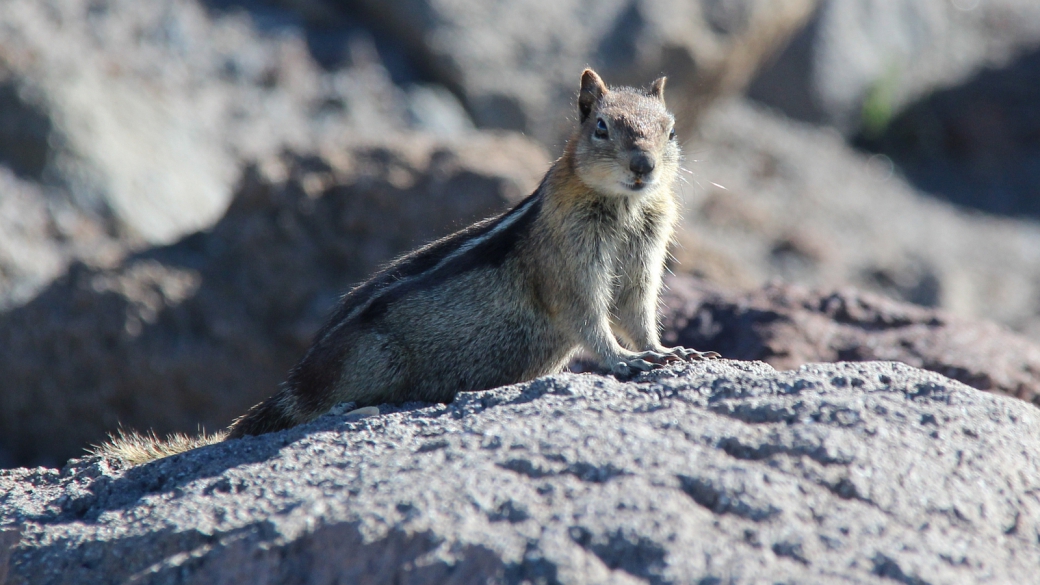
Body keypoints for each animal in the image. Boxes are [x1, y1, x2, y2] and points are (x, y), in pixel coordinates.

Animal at [99, 68, 715, 462]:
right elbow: (588, 317)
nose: (643, 166)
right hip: (373, 361)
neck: (624, 206)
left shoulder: (644, 260)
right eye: (601, 127)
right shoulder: (570, 263)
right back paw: (353, 409)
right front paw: (624, 362)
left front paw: (670, 350)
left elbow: (638, 312)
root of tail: (297, 378)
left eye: (671, 129)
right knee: (318, 410)